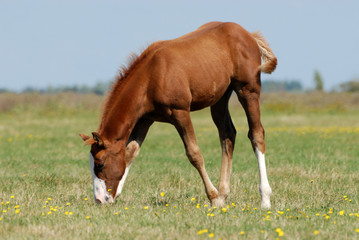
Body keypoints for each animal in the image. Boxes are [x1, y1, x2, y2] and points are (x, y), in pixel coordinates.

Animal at [80, 21, 278, 209]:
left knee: (256, 134)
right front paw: (118, 192)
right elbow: (130, 152)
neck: (152, 76)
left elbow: (194, 153)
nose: (99, 200)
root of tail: (248, 34)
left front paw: (212, 197)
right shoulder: (145, 119)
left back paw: (264, 199)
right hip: (220, 98)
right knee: (228, 134)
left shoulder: (180, 112)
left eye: (99, 163)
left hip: (248, 89)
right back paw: (224, 195)